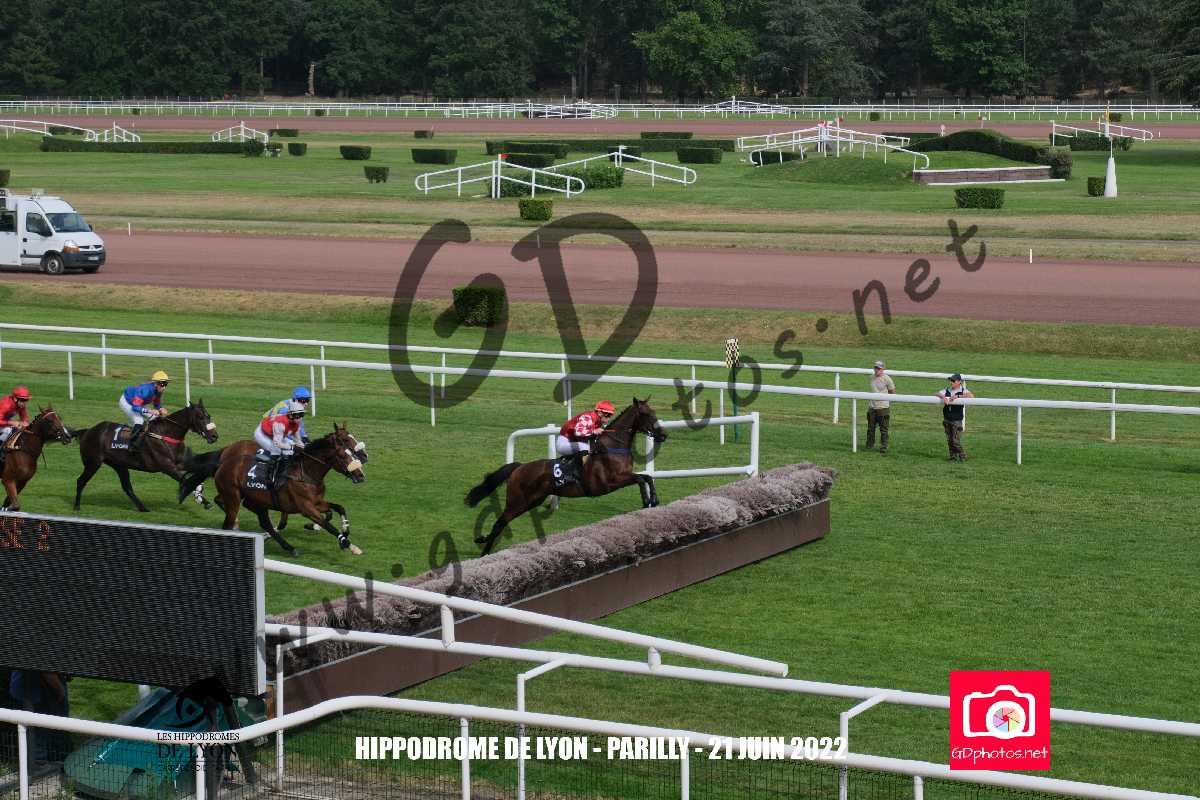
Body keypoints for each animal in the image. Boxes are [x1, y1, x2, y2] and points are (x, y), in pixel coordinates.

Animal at [73, 401, 218, 512]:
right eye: (200, 417)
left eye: (209, 416)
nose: (214, 436)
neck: (167, 434)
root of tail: (88, 431)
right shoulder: (167, 467)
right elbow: (186, 480)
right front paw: (203, 501)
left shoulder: (181, 463)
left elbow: (194, 475)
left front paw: (201, 495)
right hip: (93, 463)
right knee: (80, 481)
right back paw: (77, 506)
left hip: (119, 465)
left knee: (127, 487)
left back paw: (143, 508)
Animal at [179, 424, 366, 556]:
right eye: (343, 454)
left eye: (351, 451)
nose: (360, 474)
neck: (306, 473)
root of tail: (223, 461)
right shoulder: (306, 507)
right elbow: (327, 525)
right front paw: (349, 545)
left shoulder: (317, 502)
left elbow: (338, 508)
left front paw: (342, 531)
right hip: (233, 495)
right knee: (229, 518)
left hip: (254, 499)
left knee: (263, 522)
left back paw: (288, 547)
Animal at [465, 398, 668, 556]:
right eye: (647, 414)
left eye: (654, 412)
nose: (664, 435)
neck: (613, 447)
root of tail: (519, 467)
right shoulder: (610, 482)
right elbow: (640, 479)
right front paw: (646, 501)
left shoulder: (623, 476)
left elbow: (647, 477)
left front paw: (654, 500)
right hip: (517, 501)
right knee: (500, 522)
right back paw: (484, 551)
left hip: (533, 501)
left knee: (502, 521)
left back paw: (483, 541)